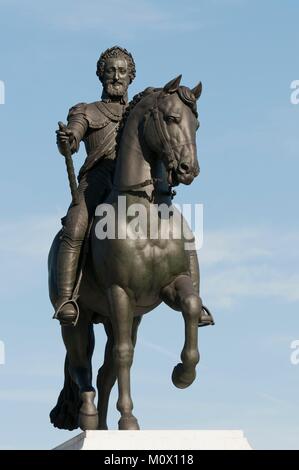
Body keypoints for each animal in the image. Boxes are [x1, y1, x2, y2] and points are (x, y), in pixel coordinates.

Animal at [48, 75, 213, 432]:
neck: (146, 213)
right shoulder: (119, 292)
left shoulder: (169, 286)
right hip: (79, 319)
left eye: (196, 124)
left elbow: (192, 306)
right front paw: (128, 420)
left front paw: (183, 374)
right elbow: (124, 355)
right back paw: (89, 416)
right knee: (82, 365)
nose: (189, 169)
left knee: (104, 371)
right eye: (171, 118)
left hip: (119, 318)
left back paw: (102, 428)